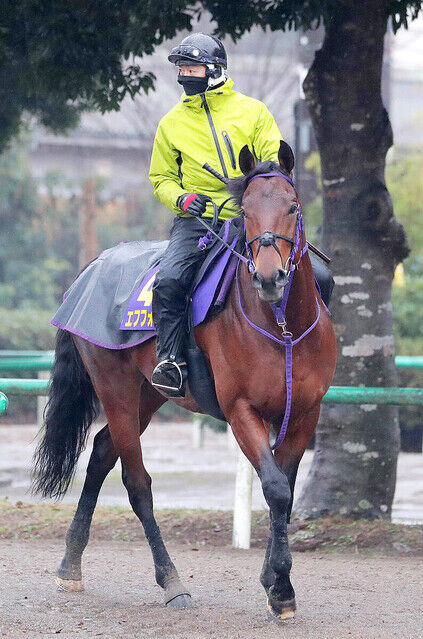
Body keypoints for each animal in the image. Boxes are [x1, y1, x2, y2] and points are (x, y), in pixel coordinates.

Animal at [32, 144, 338, 620]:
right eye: (246, 212)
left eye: (293, 207)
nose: (269, 278)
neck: (282, 326)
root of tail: (91, 268)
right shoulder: (240, 411)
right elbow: (274, 487)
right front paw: (283, 588)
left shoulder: (306, 411)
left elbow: (284, 490)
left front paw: (273, 580)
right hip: (116, 388)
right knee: (136, 483)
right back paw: (171, 581)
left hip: (149, 394)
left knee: (101, 453)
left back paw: (70, 563)